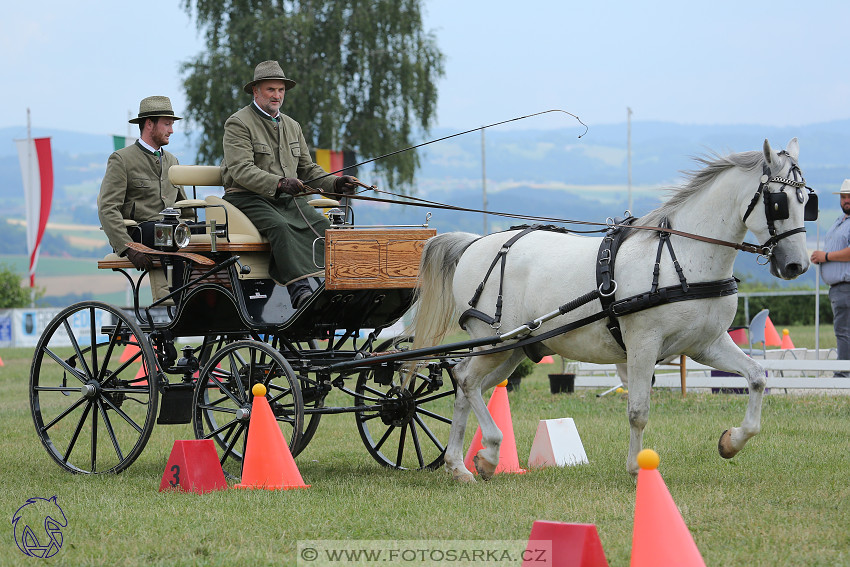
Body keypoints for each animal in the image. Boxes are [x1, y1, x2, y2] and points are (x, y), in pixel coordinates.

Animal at [408, 138, 812, 480]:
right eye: (778, 202)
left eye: (807, 201)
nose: (796, 265)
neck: (683, 257)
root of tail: (474, 243)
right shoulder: (643, 345)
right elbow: (638, 410)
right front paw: (637, 468)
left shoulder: (706, 344)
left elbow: (757, 377)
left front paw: (732, 441)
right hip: (494, 343)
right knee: (465, 380)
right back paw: (487, 453)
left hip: (513, 349)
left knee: (466, 385)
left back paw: (461, 464)